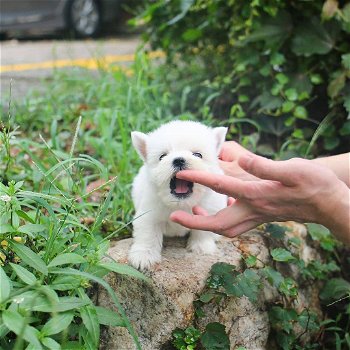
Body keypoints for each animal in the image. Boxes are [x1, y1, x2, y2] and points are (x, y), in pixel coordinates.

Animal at [128, 120, 227, 270]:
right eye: (162, 156)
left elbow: (204, 231)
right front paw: (143, 256)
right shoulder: (149, 214)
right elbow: (147, 234)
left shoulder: (209, 212)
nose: (179, 160)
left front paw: (201, 247)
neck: (181, 204)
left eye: (198, 155)